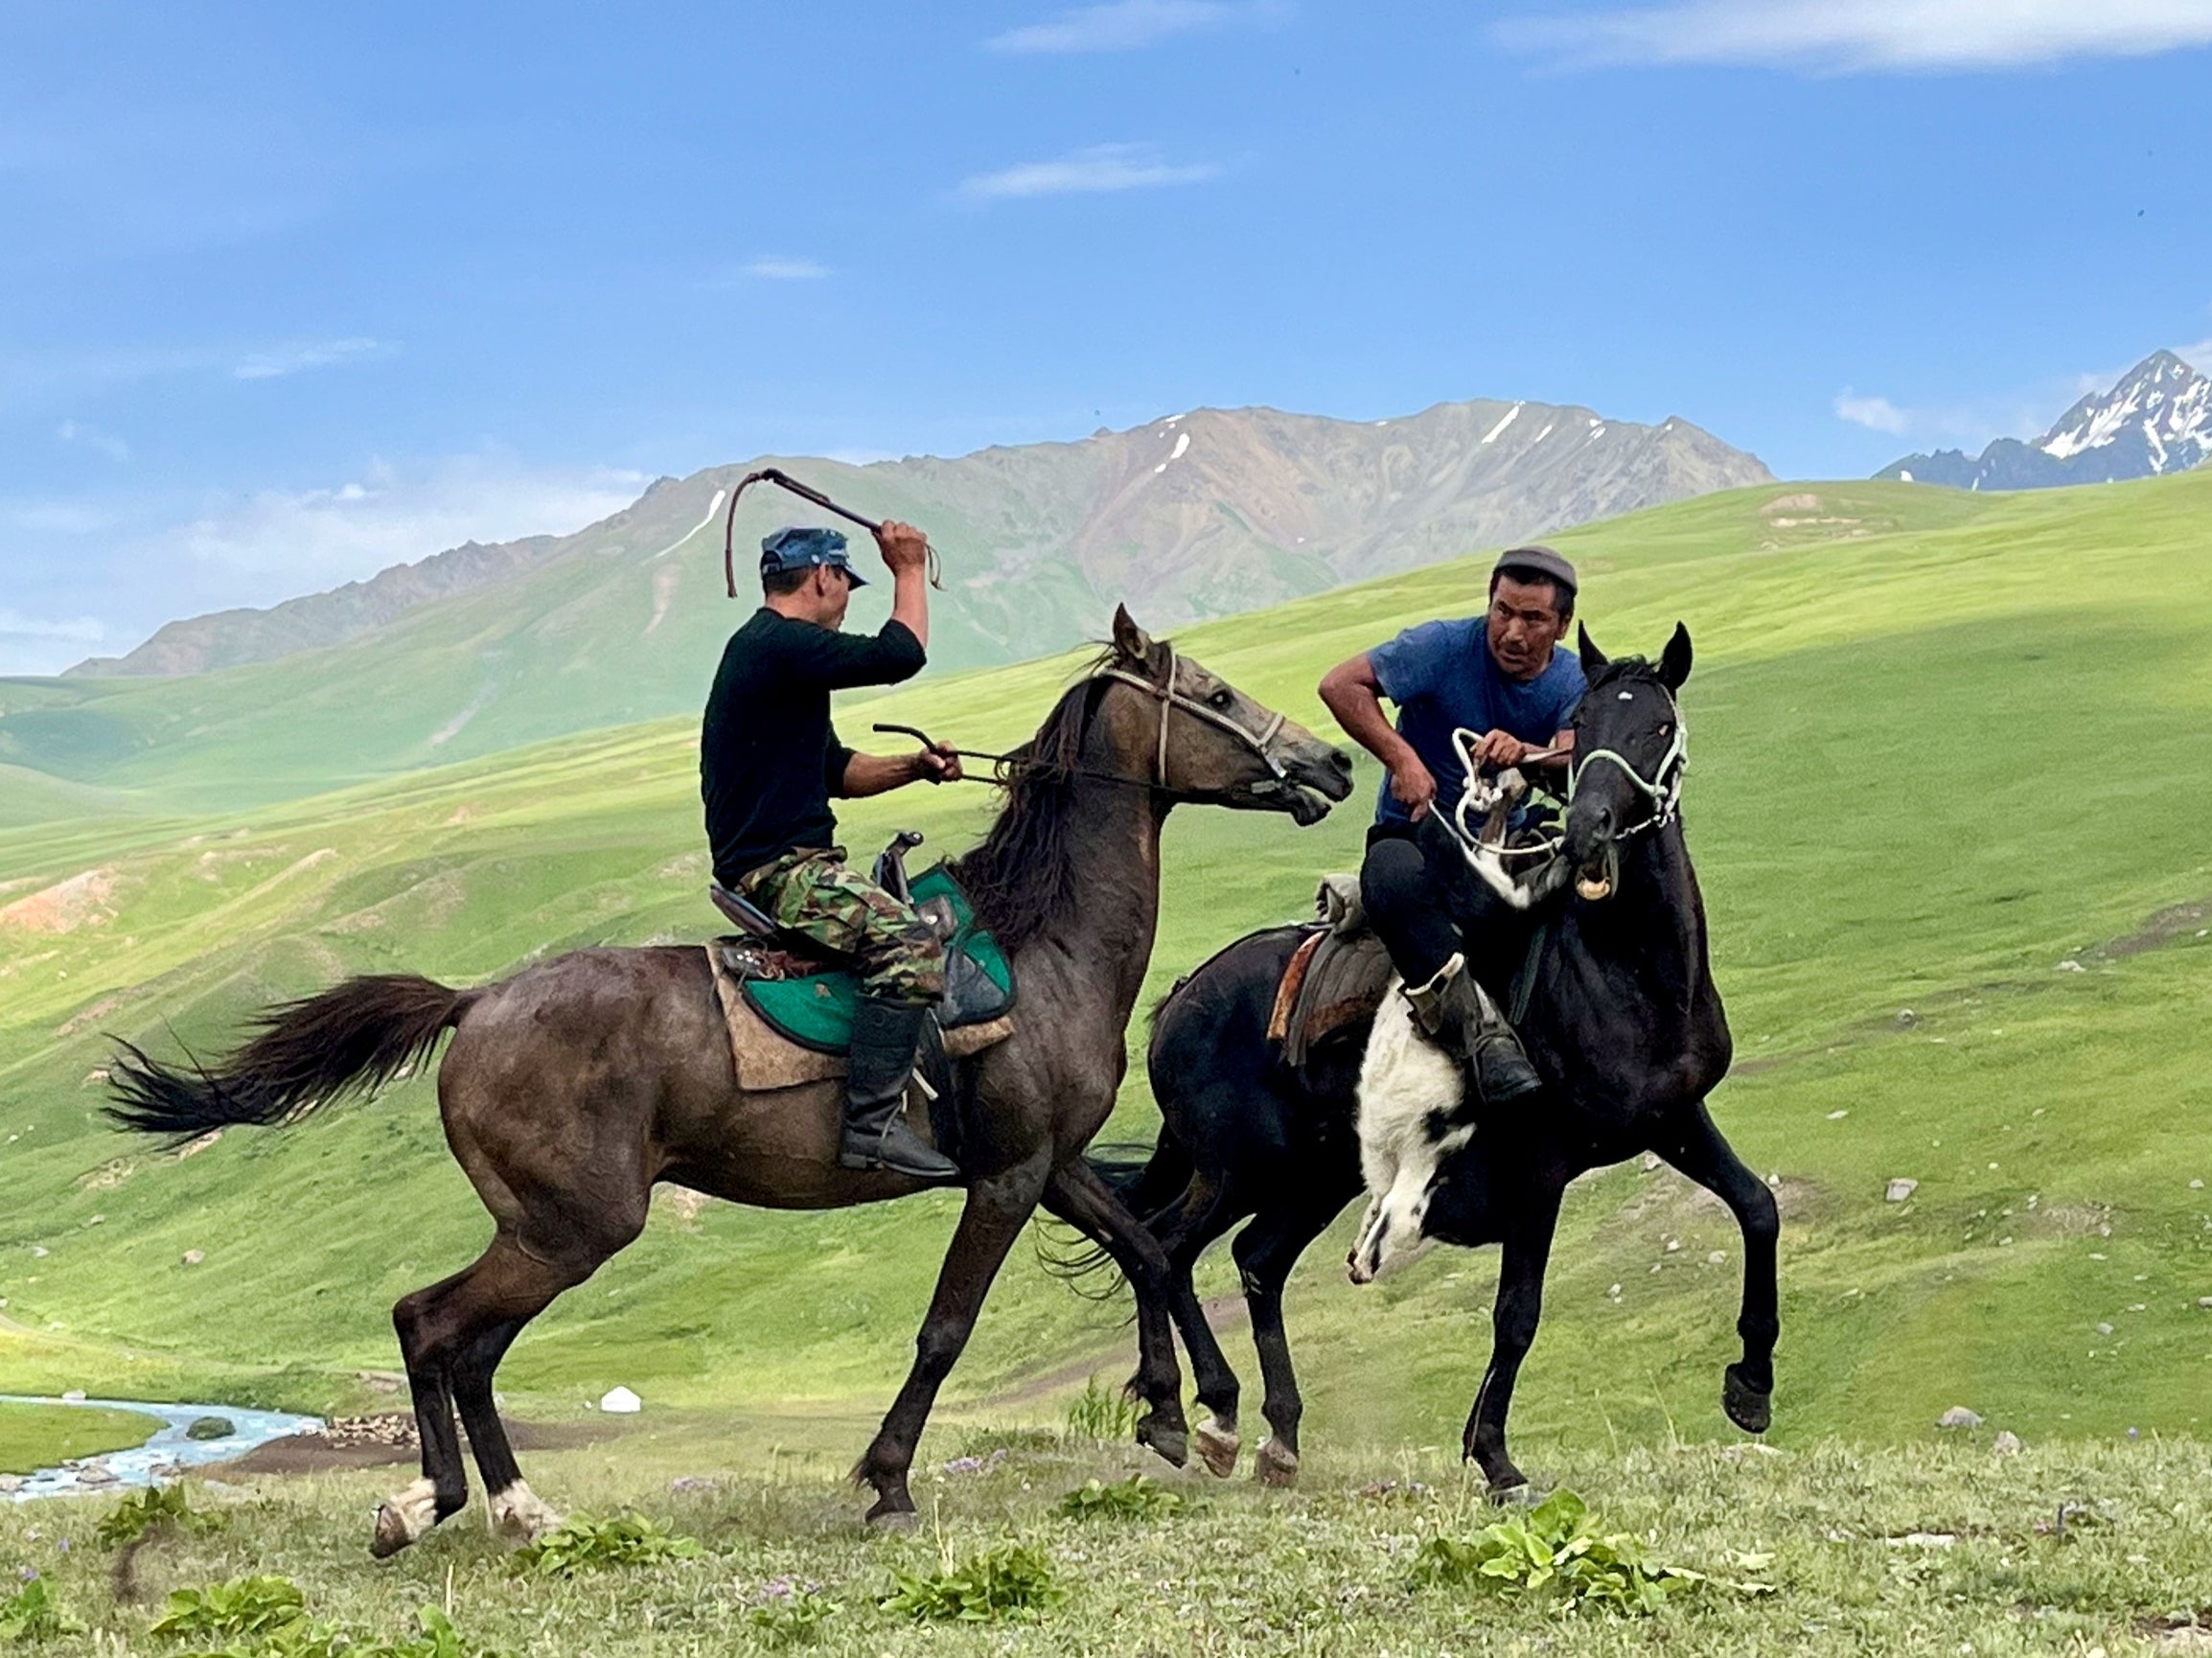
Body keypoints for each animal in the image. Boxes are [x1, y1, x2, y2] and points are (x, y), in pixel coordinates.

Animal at [112, 610, 1353, 1555]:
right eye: (1217, 691)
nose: (1332, 764)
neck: (1041, 941)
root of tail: (475, 1002)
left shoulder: (1045, 1161)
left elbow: (1147, 1249)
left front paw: (1195, 1417)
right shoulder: (1003, 1177)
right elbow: (946, 1330)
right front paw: (888, 1480)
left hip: (546, 1228)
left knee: (466, 1343)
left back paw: (514, 1506)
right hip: (574, 1224)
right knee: (432, 1323)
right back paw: (434, 1502)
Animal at [1088, 628, 1778, 1503]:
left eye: (1657, 726)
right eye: (1584, 725)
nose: (1587, 830)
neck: (1625, 973)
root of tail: (1177, 1002)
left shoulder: (1674, 1118)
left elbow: (1758, 1208)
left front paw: (1751, 1387)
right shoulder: (1541, 1164)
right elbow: (1518, 1312)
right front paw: (1496, 1459)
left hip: (1315, 1177)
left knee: (1255, 1262)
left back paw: (1277, 1436)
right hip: (1238, 1169)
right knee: (1166, 1247)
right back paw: (1199, 1418)